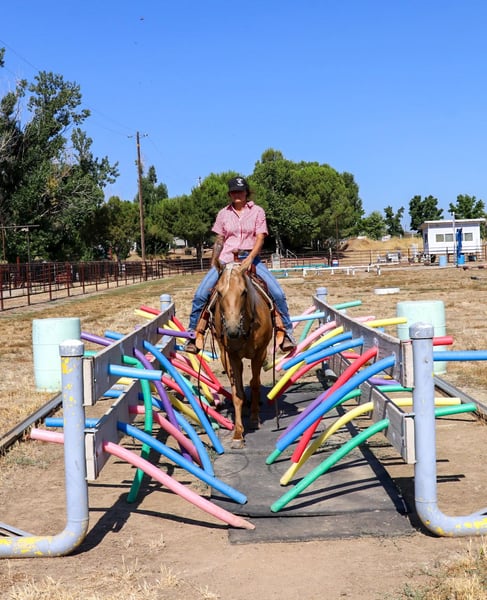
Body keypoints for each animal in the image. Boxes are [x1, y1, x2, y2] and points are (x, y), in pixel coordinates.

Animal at [211, 262, 274, 449]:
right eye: (219, 292)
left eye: (244, 292)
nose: (232, 330)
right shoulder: (231, 356)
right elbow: (236, 393)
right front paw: (238, 434)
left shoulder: (259, 353)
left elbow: (255, 383)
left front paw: (254, 417)